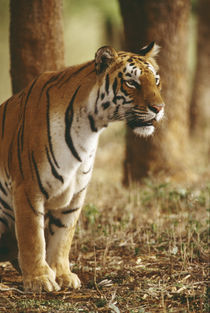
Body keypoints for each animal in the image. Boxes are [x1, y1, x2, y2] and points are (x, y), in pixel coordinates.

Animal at [0, 40, 164, 290]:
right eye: (131, 83)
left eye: (156, 81)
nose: (159, 108)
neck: (89, 128)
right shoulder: (28, 188)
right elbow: (33, 238)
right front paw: (39, 279)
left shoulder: (76, 193)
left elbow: (63, 237)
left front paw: (62, 274)